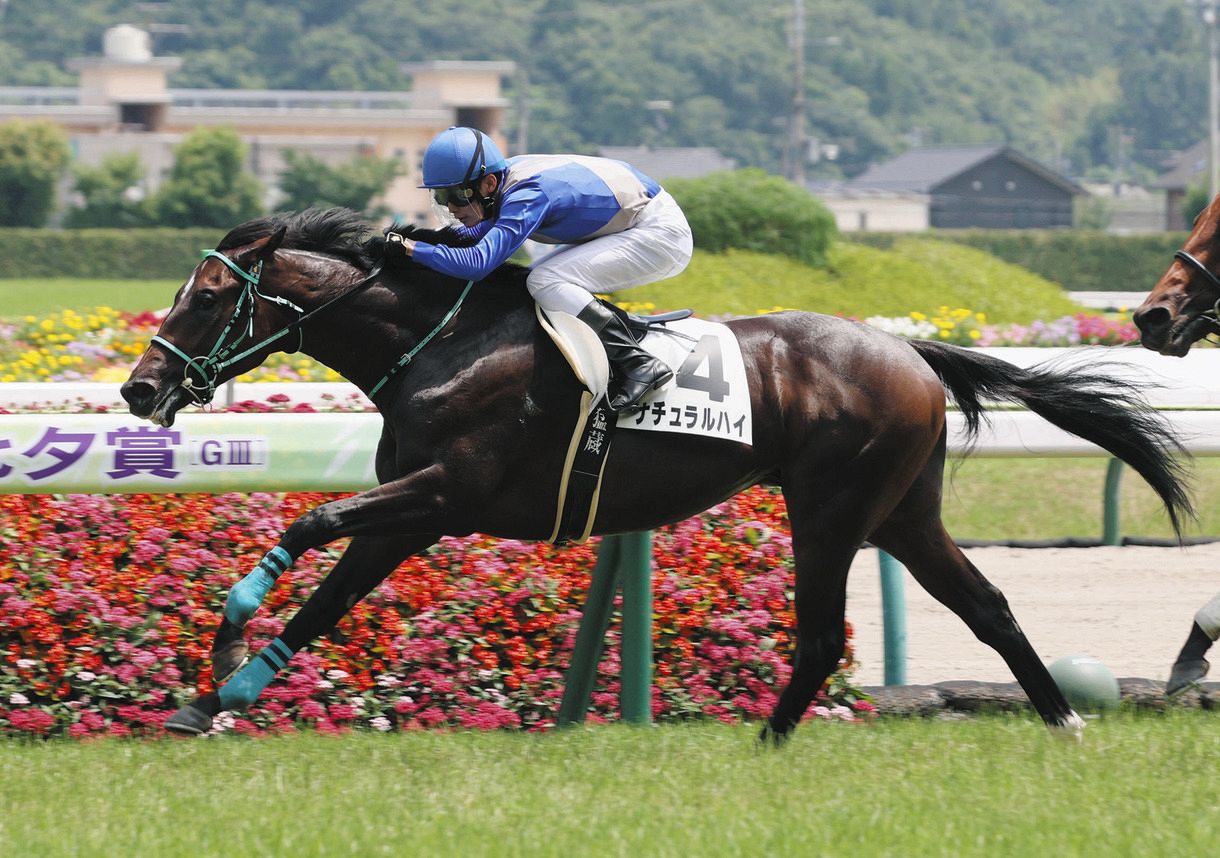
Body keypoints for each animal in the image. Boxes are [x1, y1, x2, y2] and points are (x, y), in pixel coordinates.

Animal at [121, 207, 1193, 741]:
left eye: (207, 296)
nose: (139, 387)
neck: (445, 343)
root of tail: (911, 351)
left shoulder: (447, 493)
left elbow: (305, 530)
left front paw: (225, 650)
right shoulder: (413, 515)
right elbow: (326, 601)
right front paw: (217, 695)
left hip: (832, 506)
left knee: (820, 635)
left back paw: (764, 748)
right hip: (901, 513)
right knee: (987, 606)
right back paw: (1064, 723)